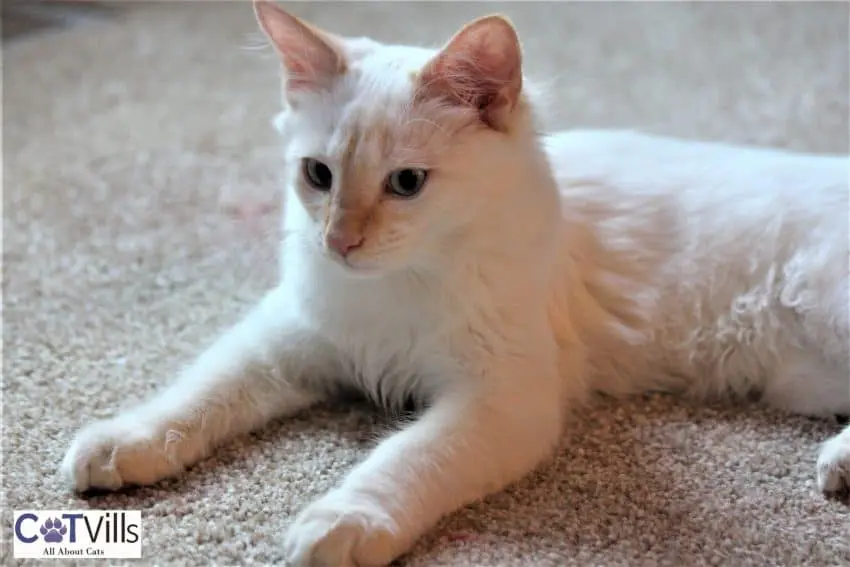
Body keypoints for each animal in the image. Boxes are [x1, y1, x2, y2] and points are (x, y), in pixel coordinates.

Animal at [61, 2, 848, 564]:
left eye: (406, 183)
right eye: (318, 175)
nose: (339, 242)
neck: (398, 285)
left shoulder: (503, 399)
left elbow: (408, 457)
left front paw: (342, 519)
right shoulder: (286, 337)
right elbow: (198, 394)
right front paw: (121, 441)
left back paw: (836, 464)